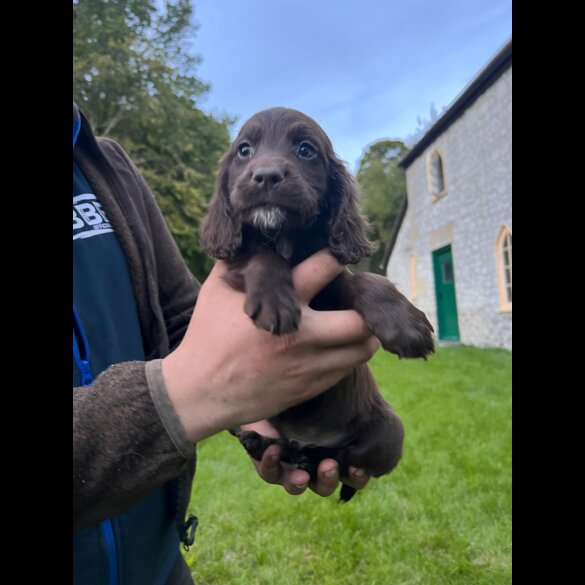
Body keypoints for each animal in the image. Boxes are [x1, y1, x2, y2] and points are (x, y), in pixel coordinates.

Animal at [201, 107, 434, 500]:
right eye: (244, 150)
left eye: (305, 150)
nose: (266, 176)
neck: (285, 237)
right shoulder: (235, 263)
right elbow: (258, 252)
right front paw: (275, 301)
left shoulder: (334, 283)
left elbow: (365, 280)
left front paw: (407, 325)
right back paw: (262, 443)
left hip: (389, 429)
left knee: (341, 459)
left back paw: (304, 455)